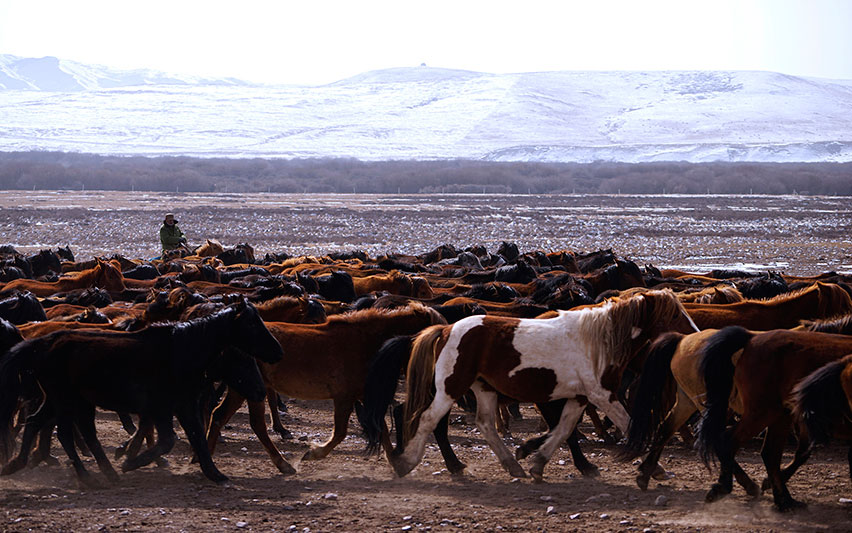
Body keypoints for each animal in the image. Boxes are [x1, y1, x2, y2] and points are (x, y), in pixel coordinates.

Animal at [0, 300, 286, 486]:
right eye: (252, 324)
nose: (278, 351)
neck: (181, 352)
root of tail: (43, 343)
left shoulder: (181, 407)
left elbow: (196, 438)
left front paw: (214, 474)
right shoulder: (164, 408)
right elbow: (169, 440)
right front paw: (131, 462)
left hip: (62, 401)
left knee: (39, 423)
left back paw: (18, 464)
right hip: (65, 400)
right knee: (64, 433)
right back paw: (88, 475)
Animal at [205, 302, 446, 472]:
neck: (365, 342)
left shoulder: (361, 395)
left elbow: (382, 429)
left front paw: (398, 466)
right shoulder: (344, 397)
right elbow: (340, 433)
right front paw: (313, 453)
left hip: (242, 389)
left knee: (220, 416)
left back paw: (205, 456)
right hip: (252, 389)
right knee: (255, 425)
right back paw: (283, 464)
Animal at [386, 288, 700, 480]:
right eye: (674, 314)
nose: (695, 335)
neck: (598, 341)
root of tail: (446, 329)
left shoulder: (579, 398)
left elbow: (563, 430)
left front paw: (537, 462)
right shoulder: (603, 395)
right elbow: (627, 424)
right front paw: (654, 468)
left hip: (483, 388)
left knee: (485, 423)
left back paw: (512, 465)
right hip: (451, 387)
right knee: (429, 419)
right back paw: (406, 463)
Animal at [696, 326, 852, 510]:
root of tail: (752, 337)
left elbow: (803, 452)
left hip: (780, 415)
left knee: (770, 453)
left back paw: (783, 499)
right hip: (764, 412)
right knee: (730, 441)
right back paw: (726, 487)